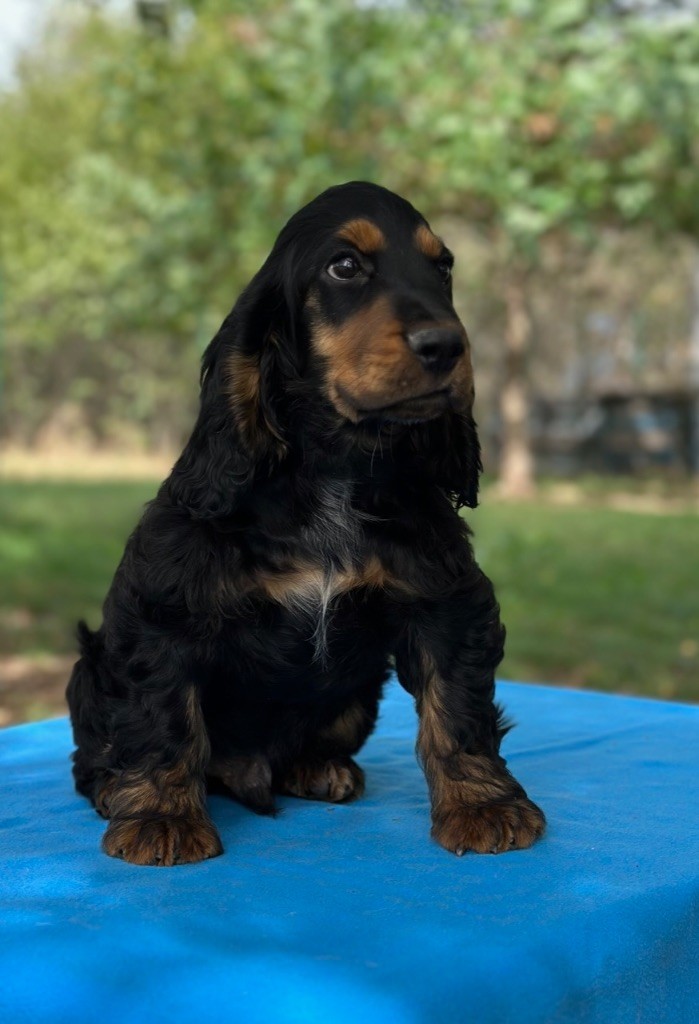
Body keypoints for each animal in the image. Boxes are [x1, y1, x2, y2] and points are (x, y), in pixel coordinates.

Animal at [66, 181, 545, 865]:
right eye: (344, 266)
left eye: (444, 267)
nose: (447, 346)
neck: (336, 468)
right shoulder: (163, 608)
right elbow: (166, 715)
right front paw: (161, 817)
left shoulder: (448, 601)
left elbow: (458, 709)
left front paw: (484, 805)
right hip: (90, 670)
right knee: (98, 753)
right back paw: (114, 786)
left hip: (356, 693)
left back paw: (320, 768)